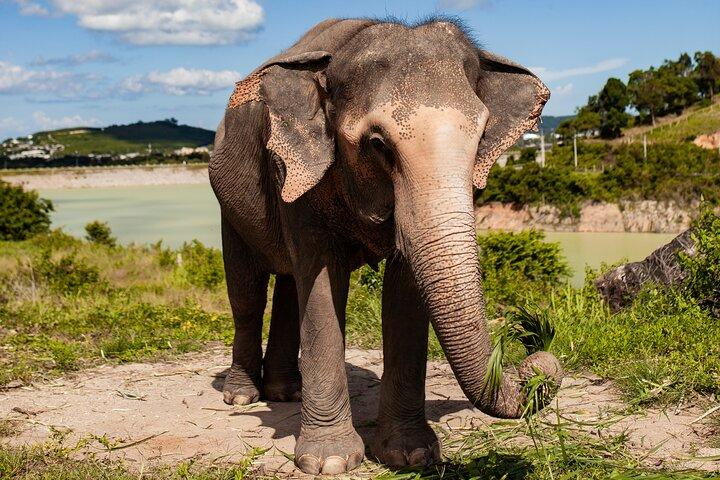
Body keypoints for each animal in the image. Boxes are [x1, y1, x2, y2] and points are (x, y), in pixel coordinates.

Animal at [209, 17, 563, 475]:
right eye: (378, 144)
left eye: (482, 137)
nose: (537, 358)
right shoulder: (298, 171)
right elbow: (322, 284)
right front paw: (330, 463)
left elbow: (404, 291)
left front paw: (410, 456)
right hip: (228, 203)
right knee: (248, 294)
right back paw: (242, 396)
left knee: (288, 284)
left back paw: (286, 393)